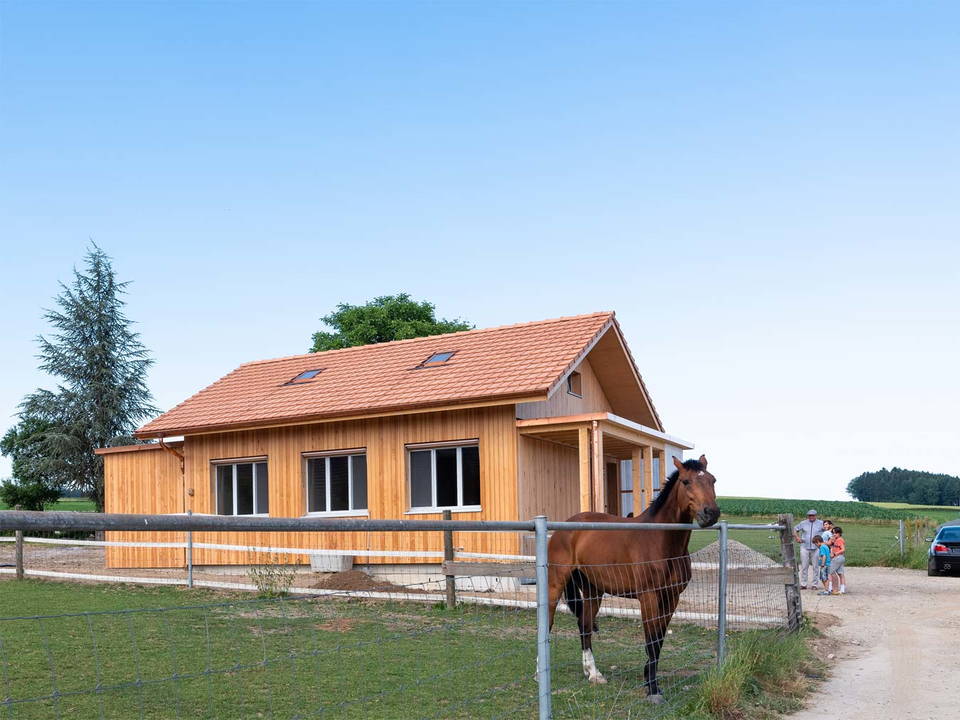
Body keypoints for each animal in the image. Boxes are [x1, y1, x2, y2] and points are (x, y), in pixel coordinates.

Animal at [548, 456, 720, 704]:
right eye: (686, 481)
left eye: (712, 480)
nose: (710, 513)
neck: (660, 541)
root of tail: (565, 528)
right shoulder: (648, 598)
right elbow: (651, 641)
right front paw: (652, 689)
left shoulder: (671, 598)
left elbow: (659, 641)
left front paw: (650, 681)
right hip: (555, 584)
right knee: (549, 622)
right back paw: (539, 672)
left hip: (593, 590)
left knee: (584, 625)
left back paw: (593, 673)